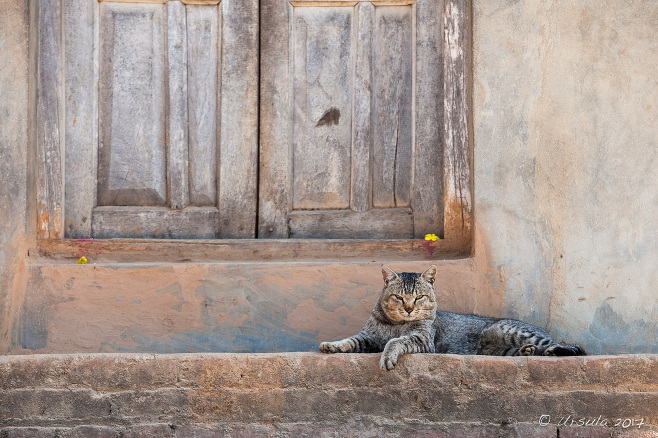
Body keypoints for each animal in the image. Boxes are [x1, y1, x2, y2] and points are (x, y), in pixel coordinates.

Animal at [318, 264, 584, 370]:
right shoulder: (368, 338)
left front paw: (388, 355)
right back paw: (527, 351)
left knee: (576, 348)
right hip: (497, 348)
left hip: (510, 330)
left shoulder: (422, 339)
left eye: (419, 297)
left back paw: (553, 351)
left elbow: (395, 342)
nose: (409, 309)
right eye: (399, 297)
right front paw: (331, 345)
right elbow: (349, 341)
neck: (396, 324)